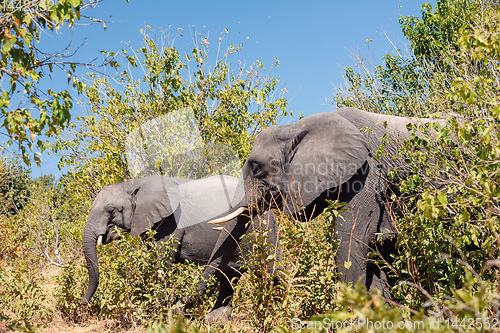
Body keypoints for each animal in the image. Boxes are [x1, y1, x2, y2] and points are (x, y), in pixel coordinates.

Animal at [80, 174, 280, 322]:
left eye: (111, 210)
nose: (82, 303)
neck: (134, 184)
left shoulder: (171, 223)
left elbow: (163, 263)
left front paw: (163, 315)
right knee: (229, 275)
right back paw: (215, 319)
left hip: (259, 228)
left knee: (266, 270)